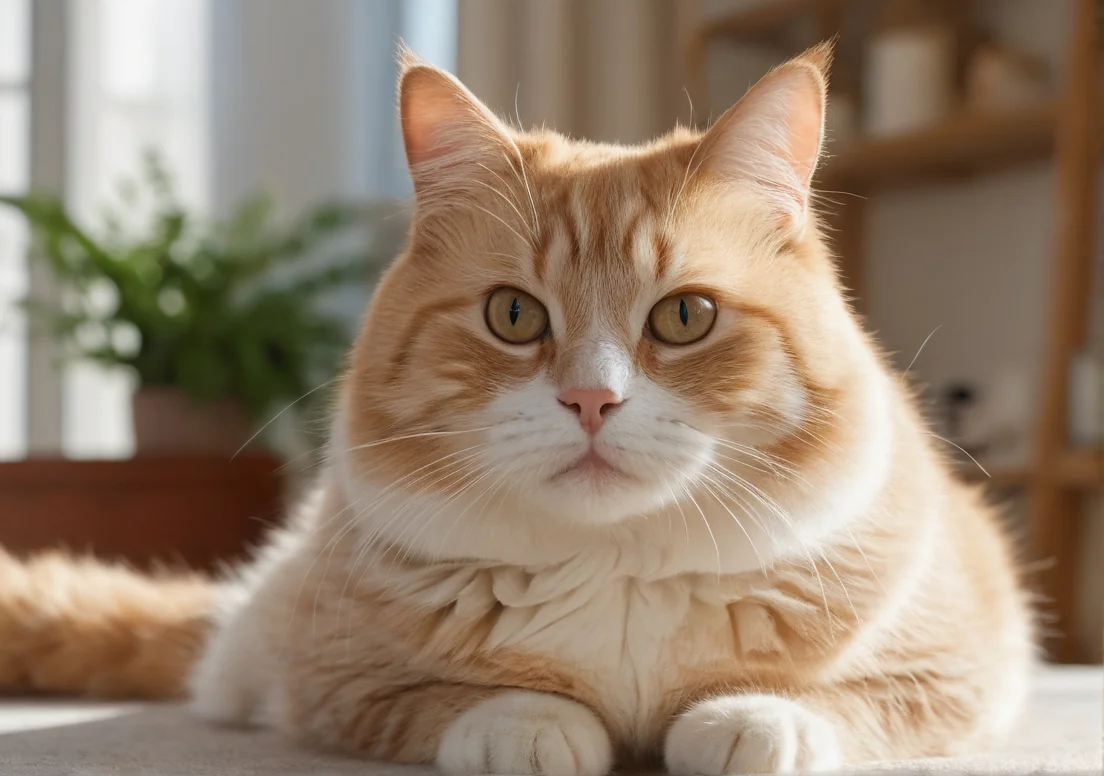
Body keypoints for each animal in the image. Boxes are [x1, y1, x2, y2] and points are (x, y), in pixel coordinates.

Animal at [0, 44, 1033, 776]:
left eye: (685, 317)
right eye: (513, 315)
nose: (592, 398)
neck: (616, 572)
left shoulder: (957, 668)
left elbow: (837, 704)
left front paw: (748, 721)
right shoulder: (334, 681)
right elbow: (455, 703)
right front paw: (534, 725)